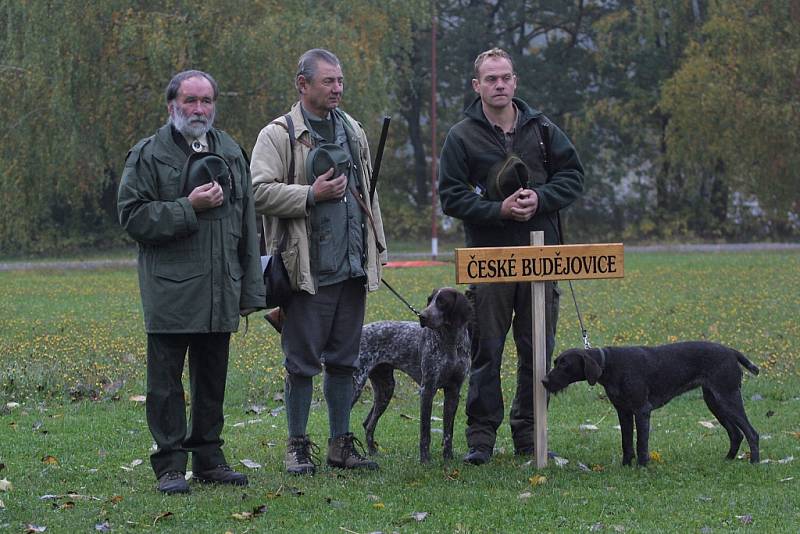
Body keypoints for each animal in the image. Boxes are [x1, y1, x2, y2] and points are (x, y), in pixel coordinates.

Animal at [354, 288, 472, 464]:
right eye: (429, 300)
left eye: (442, 302)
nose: (422, 316)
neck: (451, 343)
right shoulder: (427, 390)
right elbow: (425, 432)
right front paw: (425, 461)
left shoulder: (453, 391)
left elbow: (448, 432)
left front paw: (448, 459)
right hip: (356, 385)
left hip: (385, 389)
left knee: (368, 424)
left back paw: (373, 452)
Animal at [540, 346, 760, 466]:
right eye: (556, 361)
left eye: (564, 364)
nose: (543, 381)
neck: (609, 364)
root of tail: (731, 351)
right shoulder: (624, 412)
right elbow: (626, 442)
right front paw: (626, 465)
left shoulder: (641, 410)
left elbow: (641, 443)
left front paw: (642, 467)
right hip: (715, 402)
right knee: (736, 433)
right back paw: (728, 459)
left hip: (728, 399)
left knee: (752, 433)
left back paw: (754, 462)